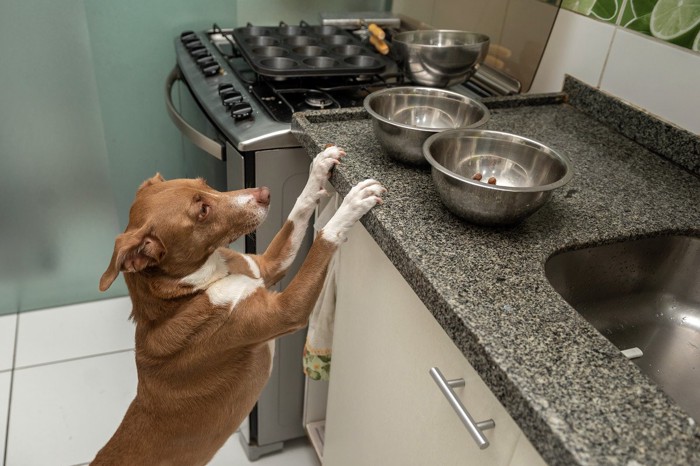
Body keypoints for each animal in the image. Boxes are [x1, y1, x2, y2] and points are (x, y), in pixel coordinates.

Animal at [92, 144, 386, 464]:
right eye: (203, 211)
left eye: (205, 182)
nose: (265, 193)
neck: (194, 291)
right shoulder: (285, 311)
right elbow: (322, 241)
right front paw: (351, 206)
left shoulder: (268, 266)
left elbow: (297, 212)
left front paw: (319, 168)